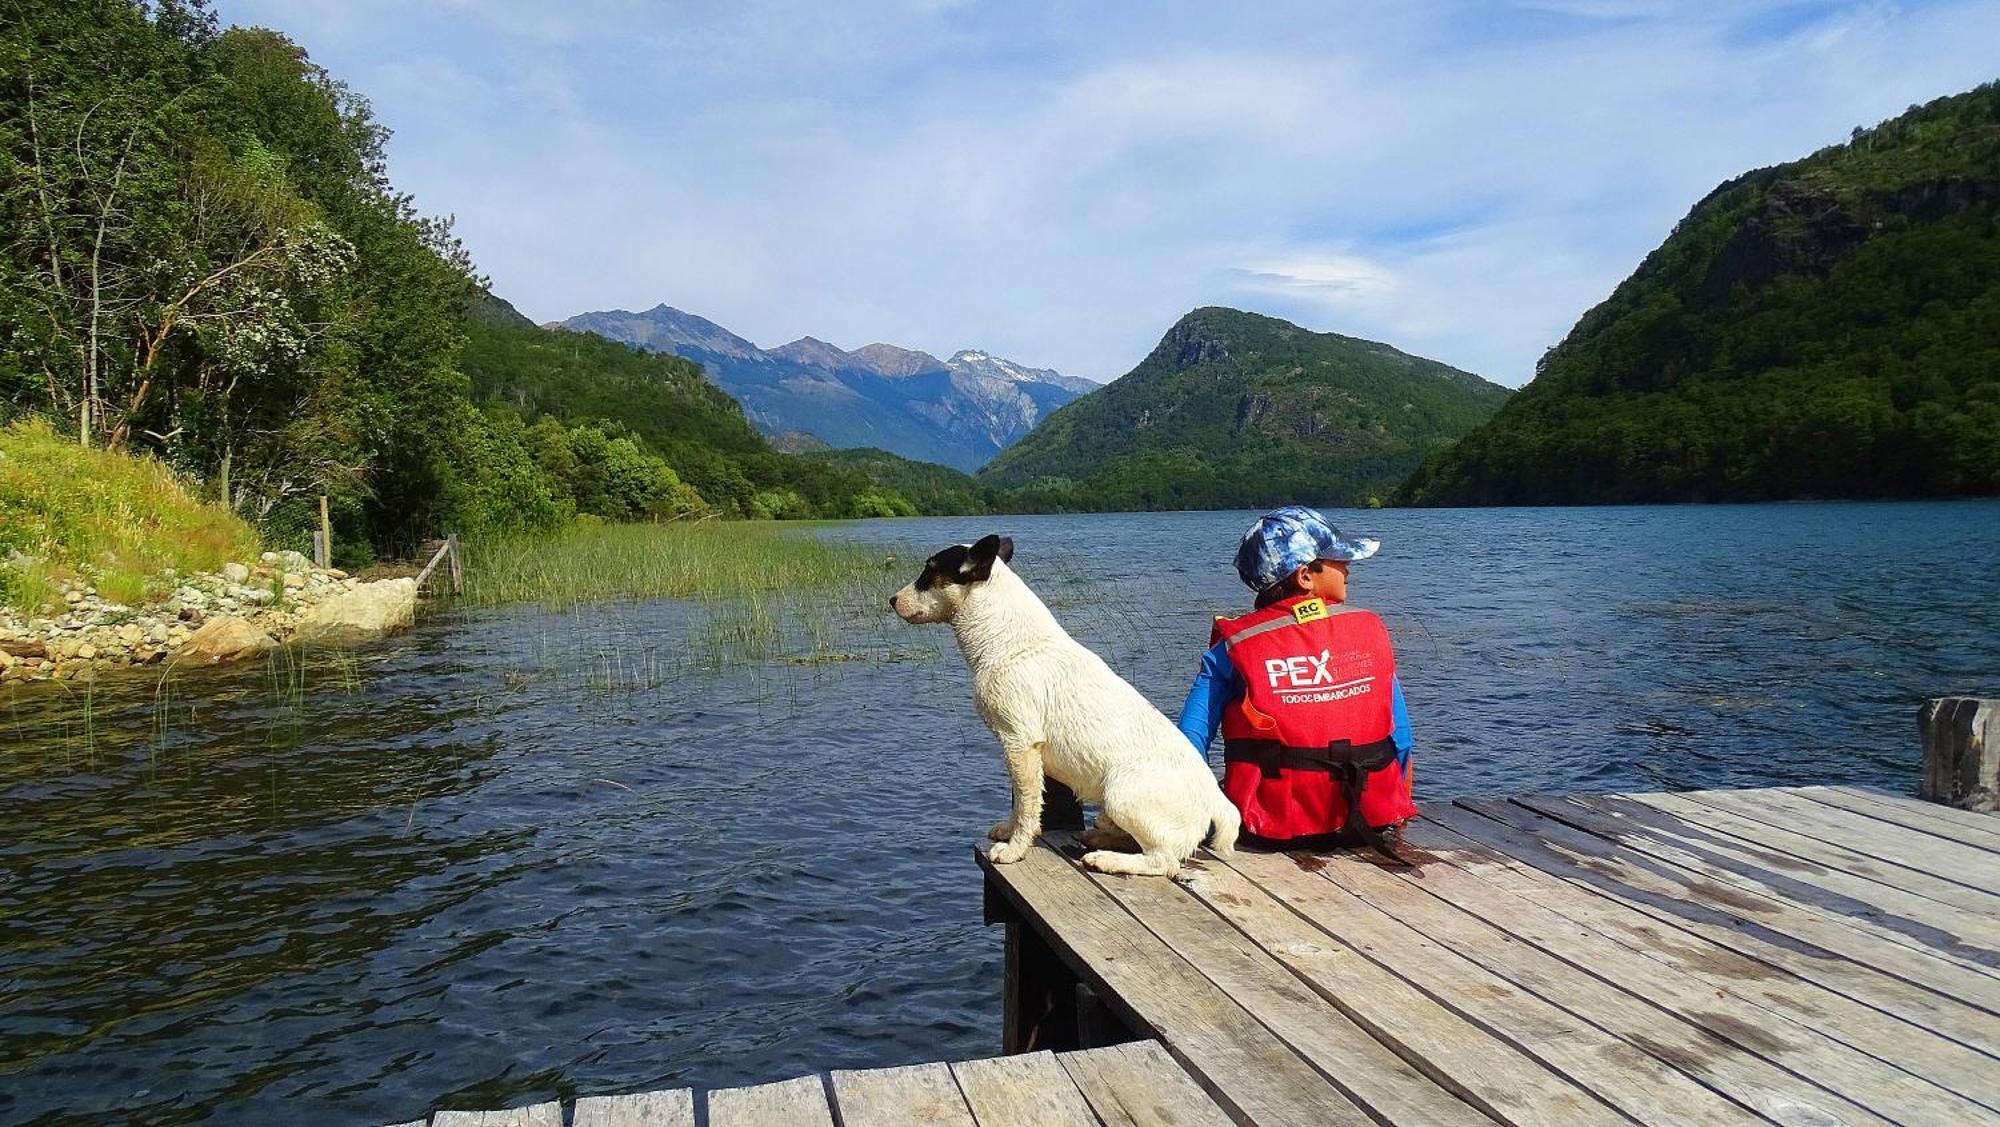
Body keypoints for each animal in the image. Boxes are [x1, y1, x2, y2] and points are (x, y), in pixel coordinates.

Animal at [892, 531, 1232, 875]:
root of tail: (1215, 800)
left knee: (1163, 861)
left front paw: (1014, 849)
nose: (892, 600)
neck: (1006, 638)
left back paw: (1105, 859)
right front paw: (1008, 831)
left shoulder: (1020, 745)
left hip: (1120, 793)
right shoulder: (1018, 751)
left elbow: (1027, 806)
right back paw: (1100, 839)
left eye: (930, 570)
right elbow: (1021, 802)